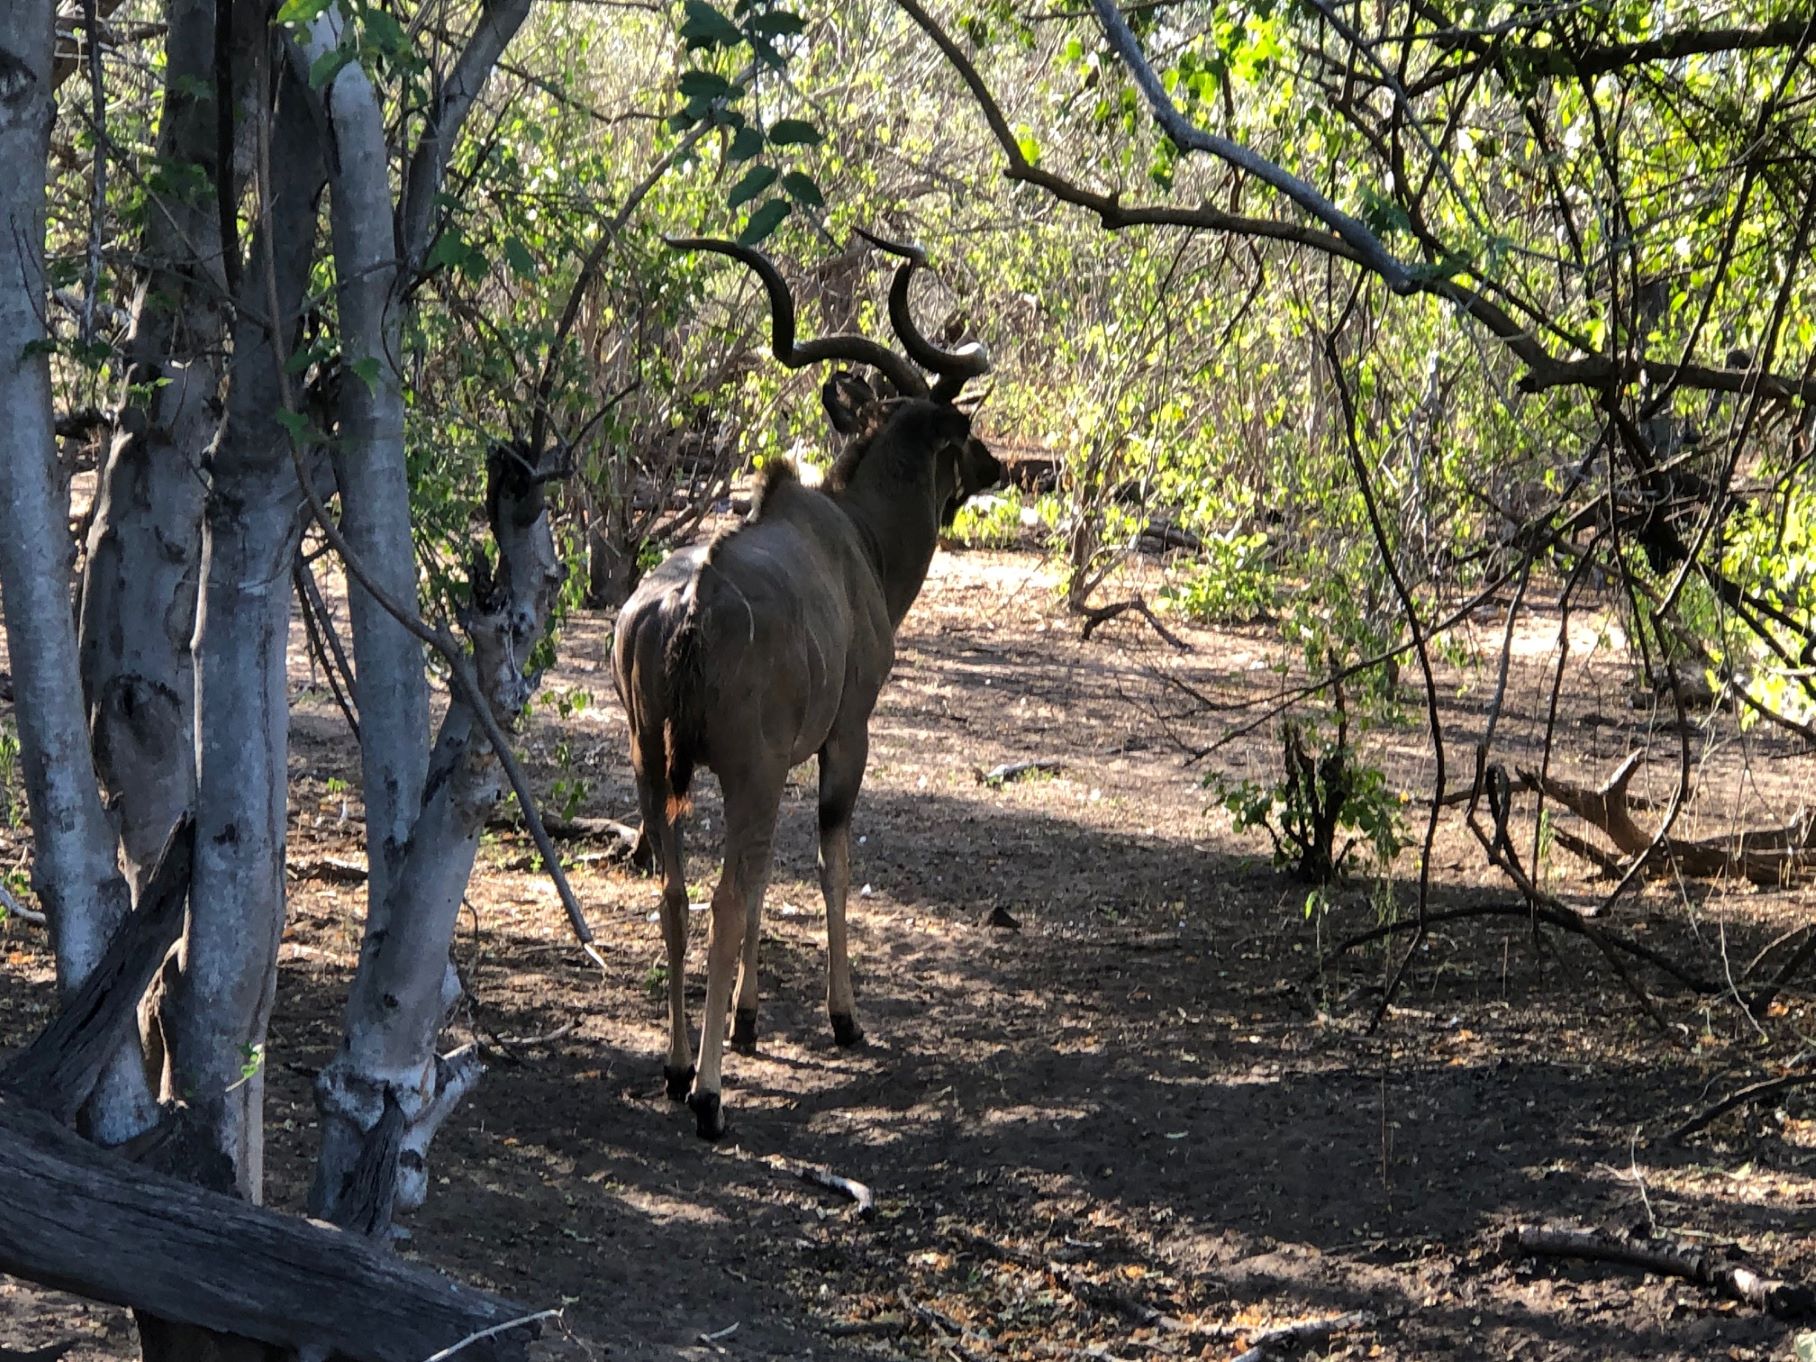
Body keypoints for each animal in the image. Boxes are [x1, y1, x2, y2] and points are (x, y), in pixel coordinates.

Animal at [617, 234, 1002, 1140]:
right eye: (961, 430)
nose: (999, 466)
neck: (856, 534)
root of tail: (688, 608)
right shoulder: (844, 737)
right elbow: (830, 862)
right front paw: (844, 1017)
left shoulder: (774, 762)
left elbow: (768, 883)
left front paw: (750, 1023)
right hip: (744, 773)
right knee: (721, 900)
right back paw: (709, 1100)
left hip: (655, 769)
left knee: (677, 895)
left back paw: (678, 1066)